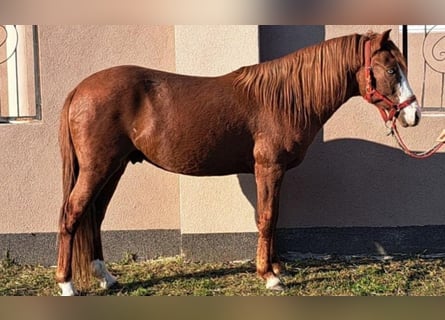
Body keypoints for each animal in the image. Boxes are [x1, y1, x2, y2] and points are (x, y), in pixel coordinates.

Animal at [55, 30, 420, 296]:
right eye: (391, 69)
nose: (414, 115)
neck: (285, 99)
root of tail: (78, 90)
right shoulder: (268, 168)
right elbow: (267, 217)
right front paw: (269, 276)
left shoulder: (274, 171)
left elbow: (273, 217)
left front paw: (276, 268)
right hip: (98, 168)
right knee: (73, 213)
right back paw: (67, 284)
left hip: (114, 168)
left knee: (95, 215)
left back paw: (106, 277)